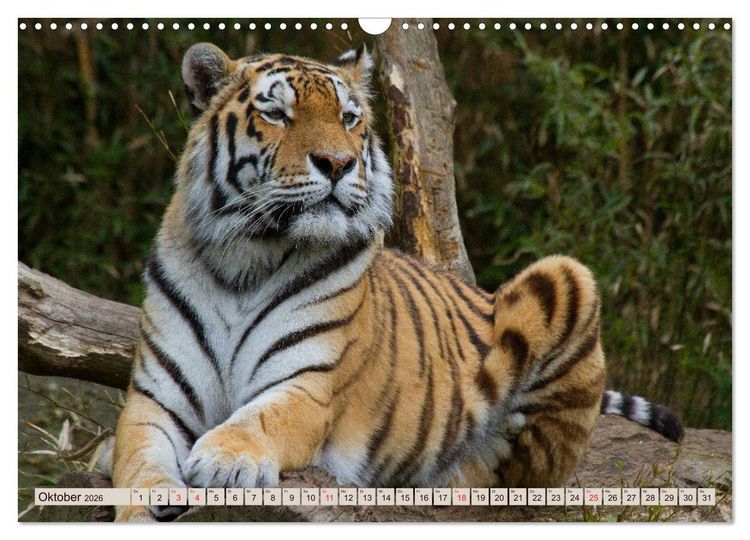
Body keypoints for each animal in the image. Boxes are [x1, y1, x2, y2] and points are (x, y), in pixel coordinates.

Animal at [112, 42, 683, 522]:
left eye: (348, 118)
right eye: (276, 114)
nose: (338, 163)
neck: (245, 259)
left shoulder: (308, 385)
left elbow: (259, 419)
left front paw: (223, 458)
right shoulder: (154, 397)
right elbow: (135, 458)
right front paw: (149, 500)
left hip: (566, 277)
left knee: (515, 474)